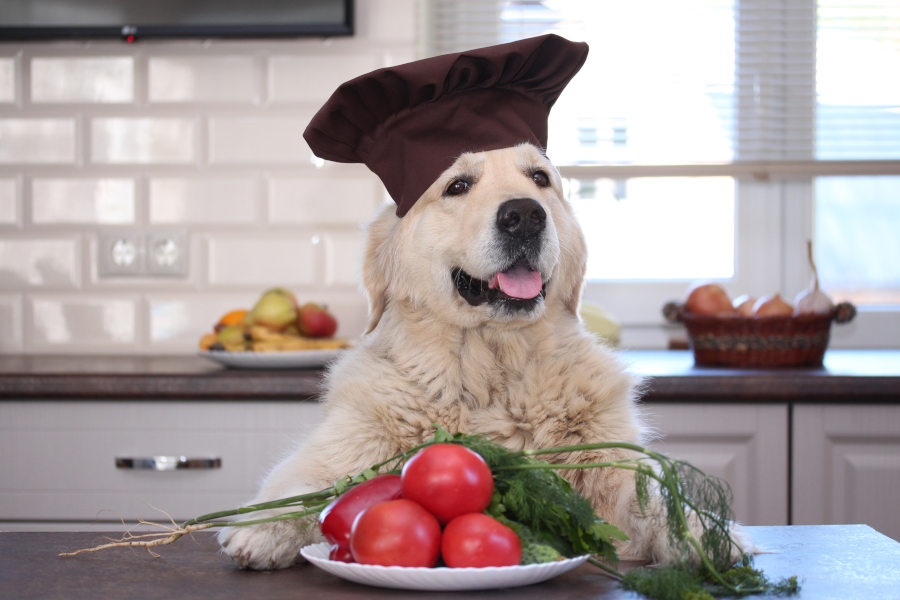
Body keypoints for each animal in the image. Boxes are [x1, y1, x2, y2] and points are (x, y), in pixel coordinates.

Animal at [218, 143, 744, 568]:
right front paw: (262, 529)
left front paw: (706, 535)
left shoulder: (612, 472)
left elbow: (656, 502)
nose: (526, 215)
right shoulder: (336, 453)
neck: (492, 371)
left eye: (540, 178)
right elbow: (299, 491)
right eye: (458, 185)